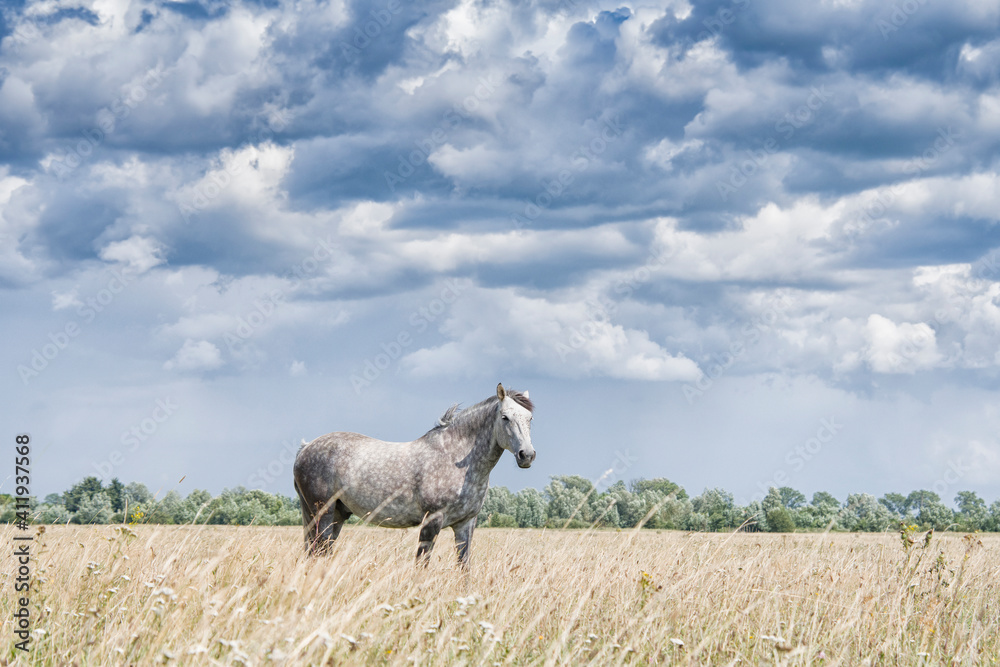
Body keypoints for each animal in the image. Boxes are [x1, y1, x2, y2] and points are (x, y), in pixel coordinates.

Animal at [293, 383, 535, 566]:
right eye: (504, 417)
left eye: (530, 418)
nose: (527, 455)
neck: (454, 457)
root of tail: (305, 448)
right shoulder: (432, 521)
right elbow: (422, 564)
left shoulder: (466, 524)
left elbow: (463, 567)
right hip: (322, 513)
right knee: (318, 552)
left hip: (336, 514)